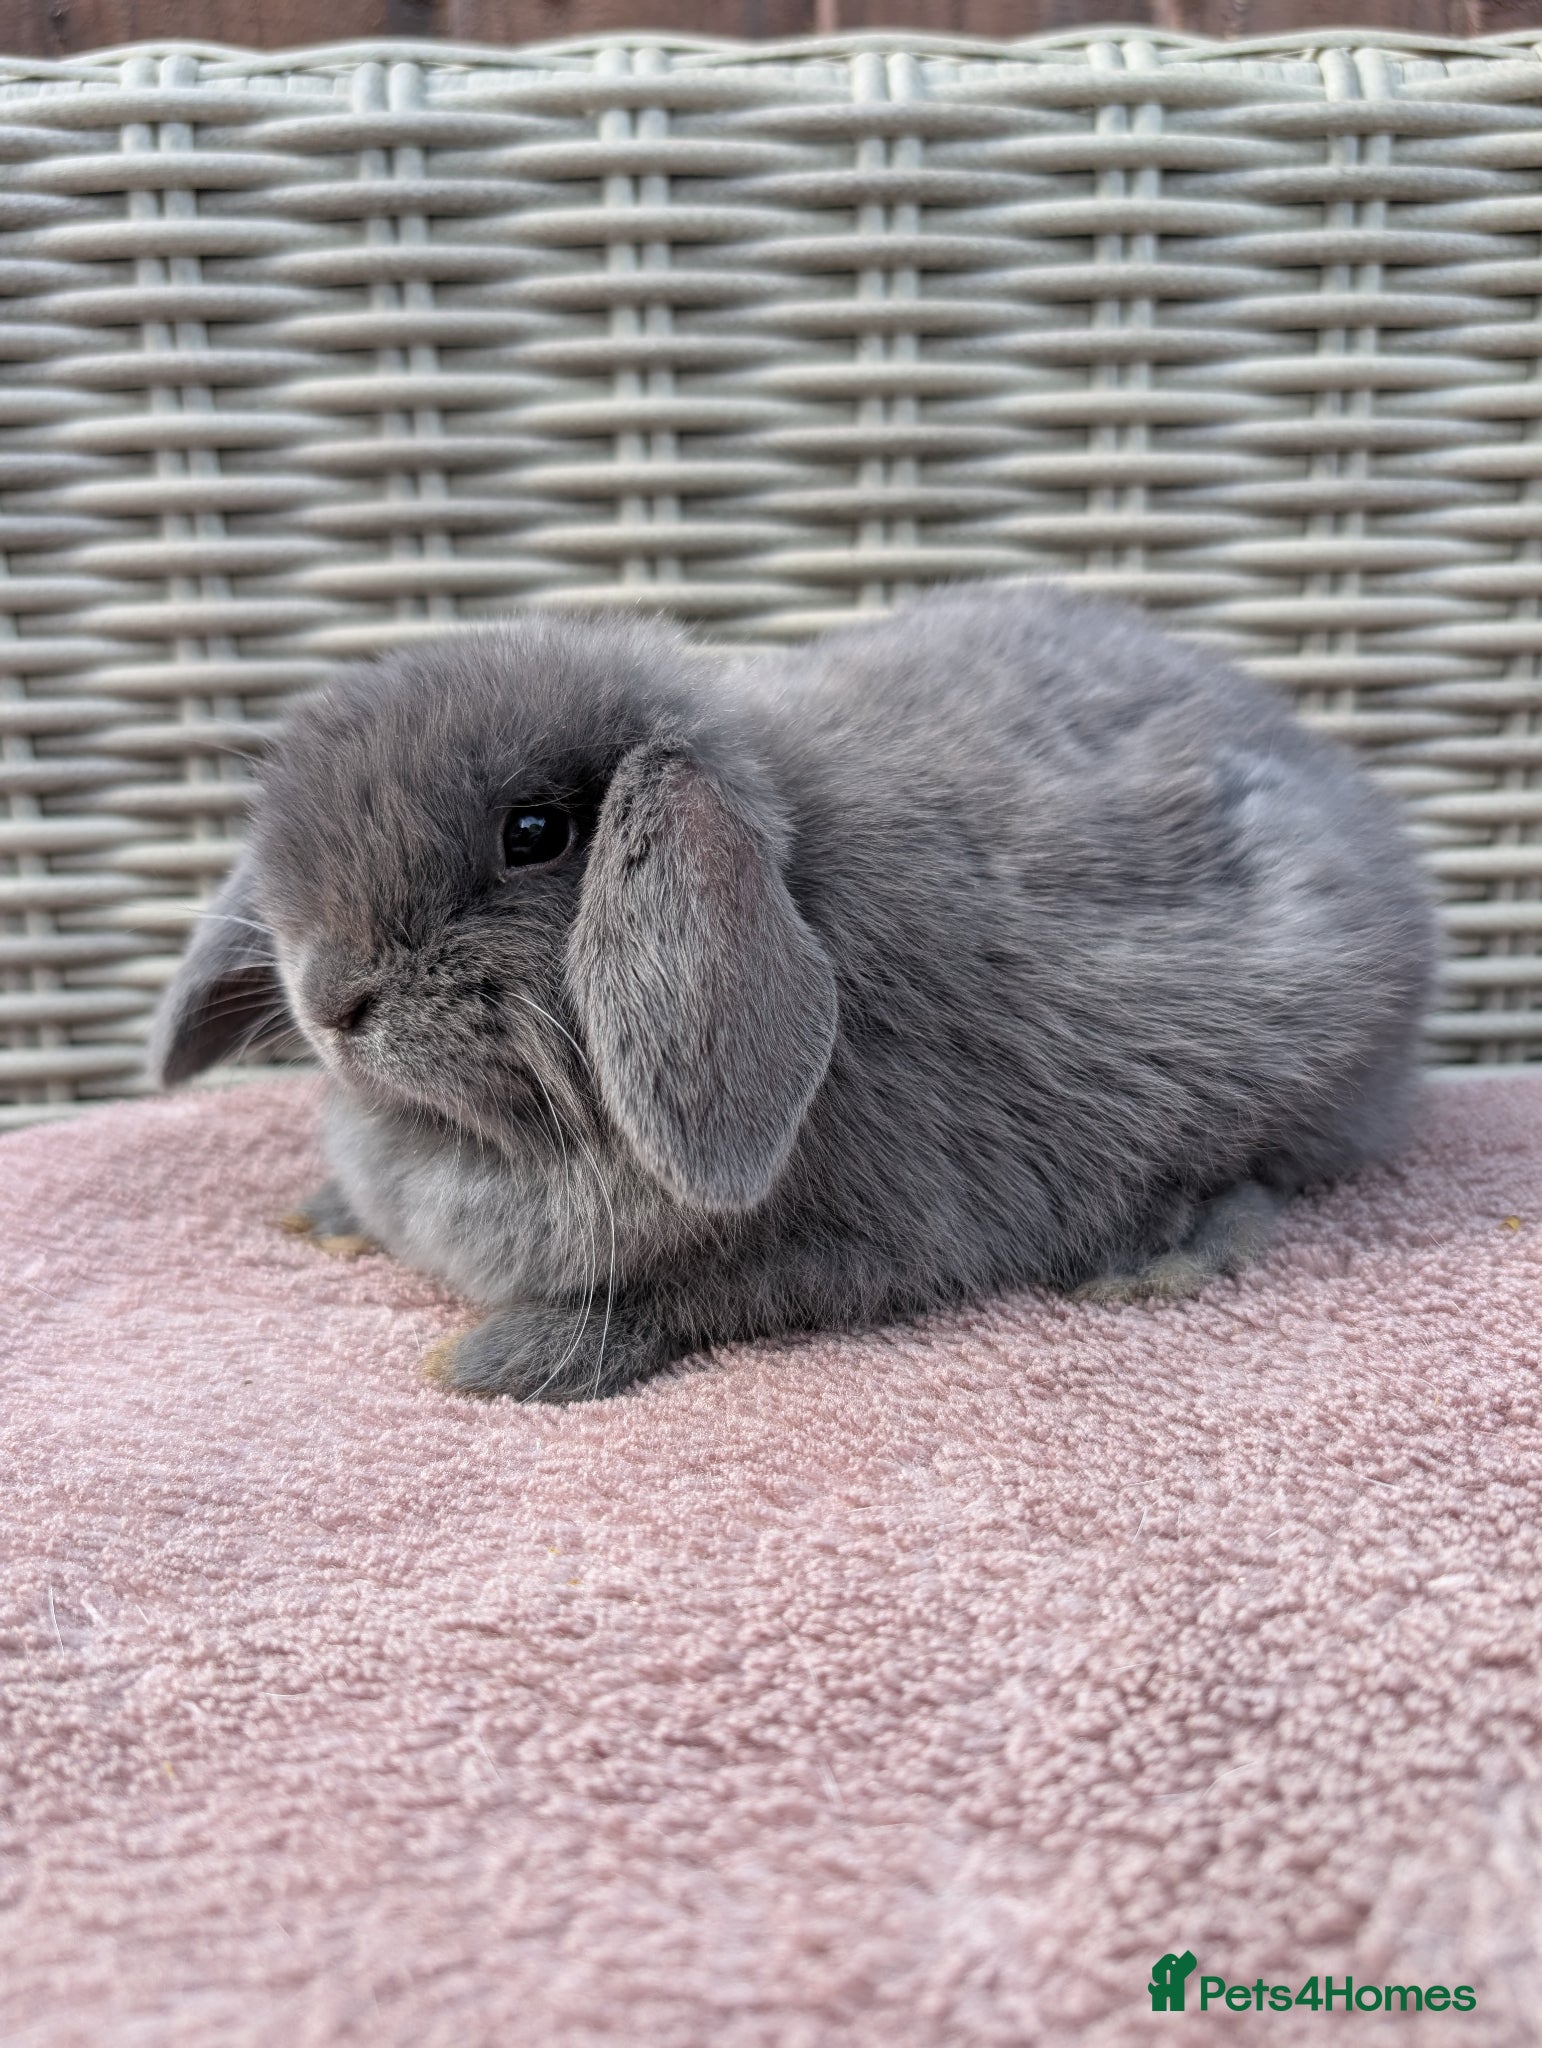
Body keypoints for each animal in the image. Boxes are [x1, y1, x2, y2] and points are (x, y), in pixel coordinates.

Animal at [150, 584, 1437, 1403]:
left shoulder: (856, 1245)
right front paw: (329, 1210)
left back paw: (1154, 1258)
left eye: (534, 833)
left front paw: (495, 1362)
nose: (331, 1000)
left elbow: (683, 1302)